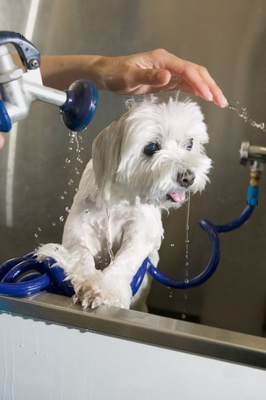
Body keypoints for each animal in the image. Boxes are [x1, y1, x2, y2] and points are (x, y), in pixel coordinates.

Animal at [38, 96, 212, 310]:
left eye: (190, 144)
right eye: (151, 147)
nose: (188, 177)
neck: (117, 200)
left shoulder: (139, 233)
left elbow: (124, 260)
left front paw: (109, 291)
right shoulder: (79, 231)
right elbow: (82, 256)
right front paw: (89, 284)